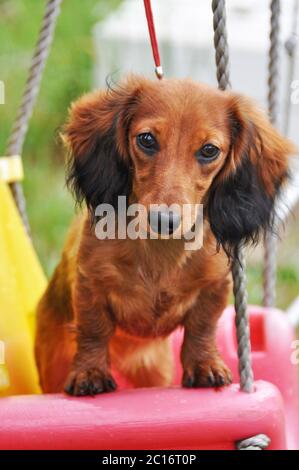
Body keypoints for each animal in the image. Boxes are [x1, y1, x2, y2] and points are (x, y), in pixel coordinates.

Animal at [34, 75, 292, 394]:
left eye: (209, 150)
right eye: (146, 139)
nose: (164, 221)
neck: (160, 249)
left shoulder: (215, 287)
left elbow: (202, 327)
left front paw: (205, 365)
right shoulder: (89, 283)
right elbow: (94, 329)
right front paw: (90, 372)